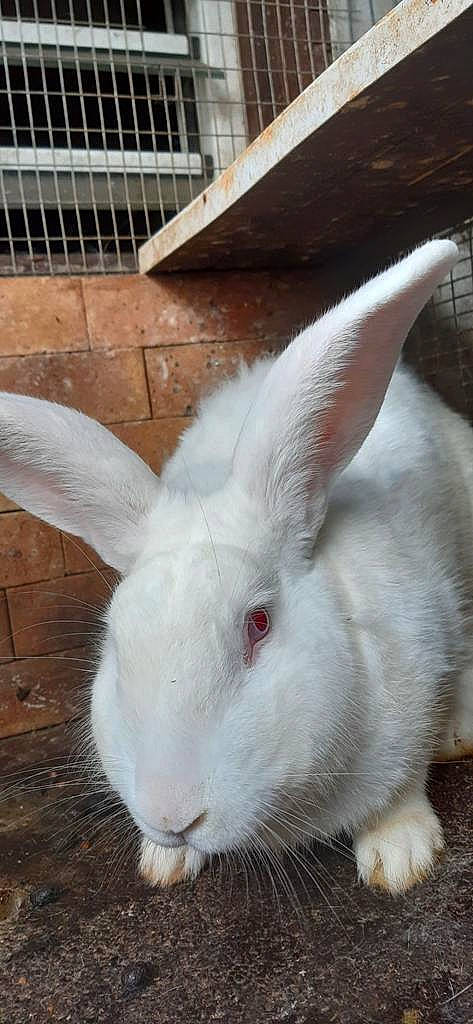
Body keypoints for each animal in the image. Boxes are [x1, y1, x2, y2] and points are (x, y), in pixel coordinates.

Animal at [0, 238, 472, 897]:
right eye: (115, 642)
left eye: (259, 624)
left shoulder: (418, 674)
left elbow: (397, 792)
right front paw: (163, 863)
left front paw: (400, 858)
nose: (173, 815)